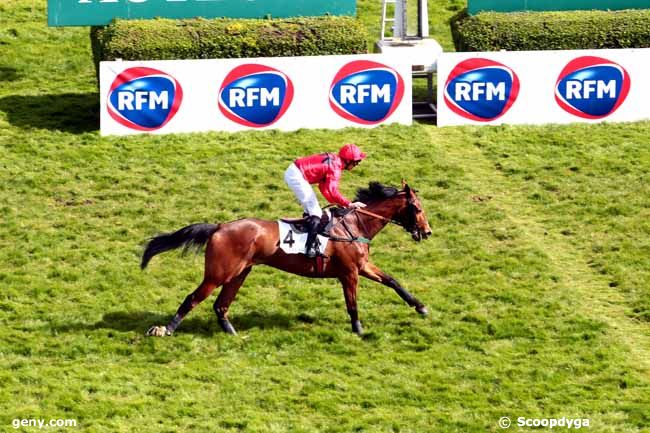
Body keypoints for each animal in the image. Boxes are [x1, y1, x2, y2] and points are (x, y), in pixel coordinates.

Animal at [140, 179, 430, 334]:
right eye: (416, 208)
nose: (426, 232)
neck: (355, 225)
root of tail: (219, 227)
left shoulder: (363, 265)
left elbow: (393, 281)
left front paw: (420, 306)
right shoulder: (349, 272)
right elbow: (352, 303)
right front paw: (358, 329)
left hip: (239, 273)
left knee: (221, 305)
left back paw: (231, 332)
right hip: (218, 273)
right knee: (193, 298)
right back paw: (166, 329)